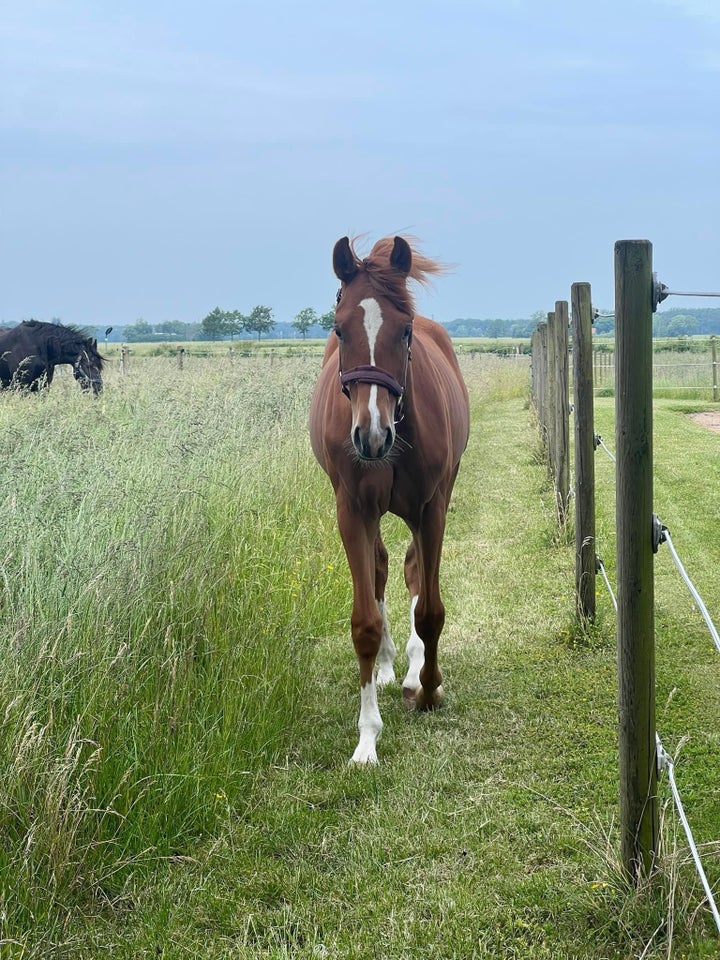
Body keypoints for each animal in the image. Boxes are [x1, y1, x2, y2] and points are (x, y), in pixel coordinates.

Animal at [310, 234, 472, 764]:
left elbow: (430, 610)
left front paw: (428, 688)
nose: (372, 435)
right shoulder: (353, 511)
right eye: (340, 330)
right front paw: (366, 740)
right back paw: (385, 668)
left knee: (414, 570)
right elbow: (363, 621)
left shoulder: (431, 508)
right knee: (382, 568)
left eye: (404, 332)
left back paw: (413, 670)